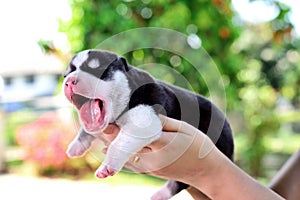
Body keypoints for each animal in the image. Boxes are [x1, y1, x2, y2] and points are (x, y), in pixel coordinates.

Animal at [62, 49, 233, 198]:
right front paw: (76, 145)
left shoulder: (144, 119)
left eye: (97, 70)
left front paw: (107, 166)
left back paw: (160, 194)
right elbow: (86, 129)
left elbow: (119, 143)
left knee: (181, 182)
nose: (69, 81)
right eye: (67, 73)